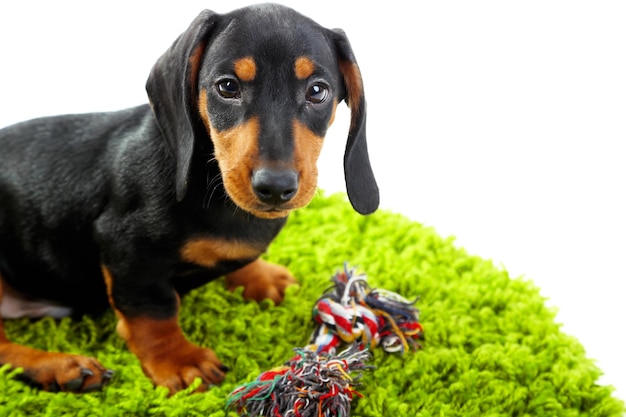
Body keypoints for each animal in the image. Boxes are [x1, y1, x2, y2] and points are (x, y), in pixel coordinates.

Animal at [0, 3, 376, 394]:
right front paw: (179, 361)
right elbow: (154, 310)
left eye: (317, 91)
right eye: (227, 86)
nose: (275, 186)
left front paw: (259, 275)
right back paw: (63, 367)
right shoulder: (126, 249)